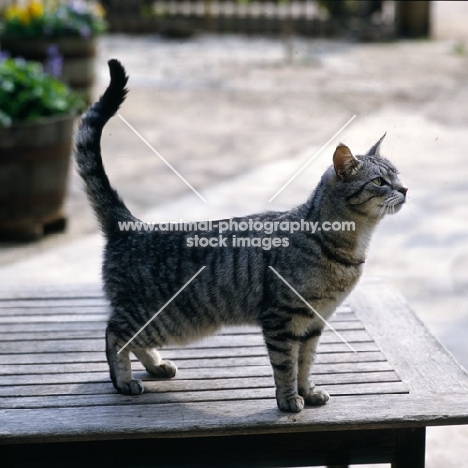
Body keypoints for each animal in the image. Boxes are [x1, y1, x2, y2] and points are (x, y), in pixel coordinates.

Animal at [75, 59, 408, 414]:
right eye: (379, 182)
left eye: (397, 175)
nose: (405, 189)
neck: (345, 243)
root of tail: (132, 225)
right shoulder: (282, 319)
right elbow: (286, 366)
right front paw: (289, 399)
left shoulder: (312, 324)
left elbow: (306, 364)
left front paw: (309, 391)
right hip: (167, 318)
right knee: (114, 333)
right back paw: (123, 381)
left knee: (132, 339)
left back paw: (156, 366)